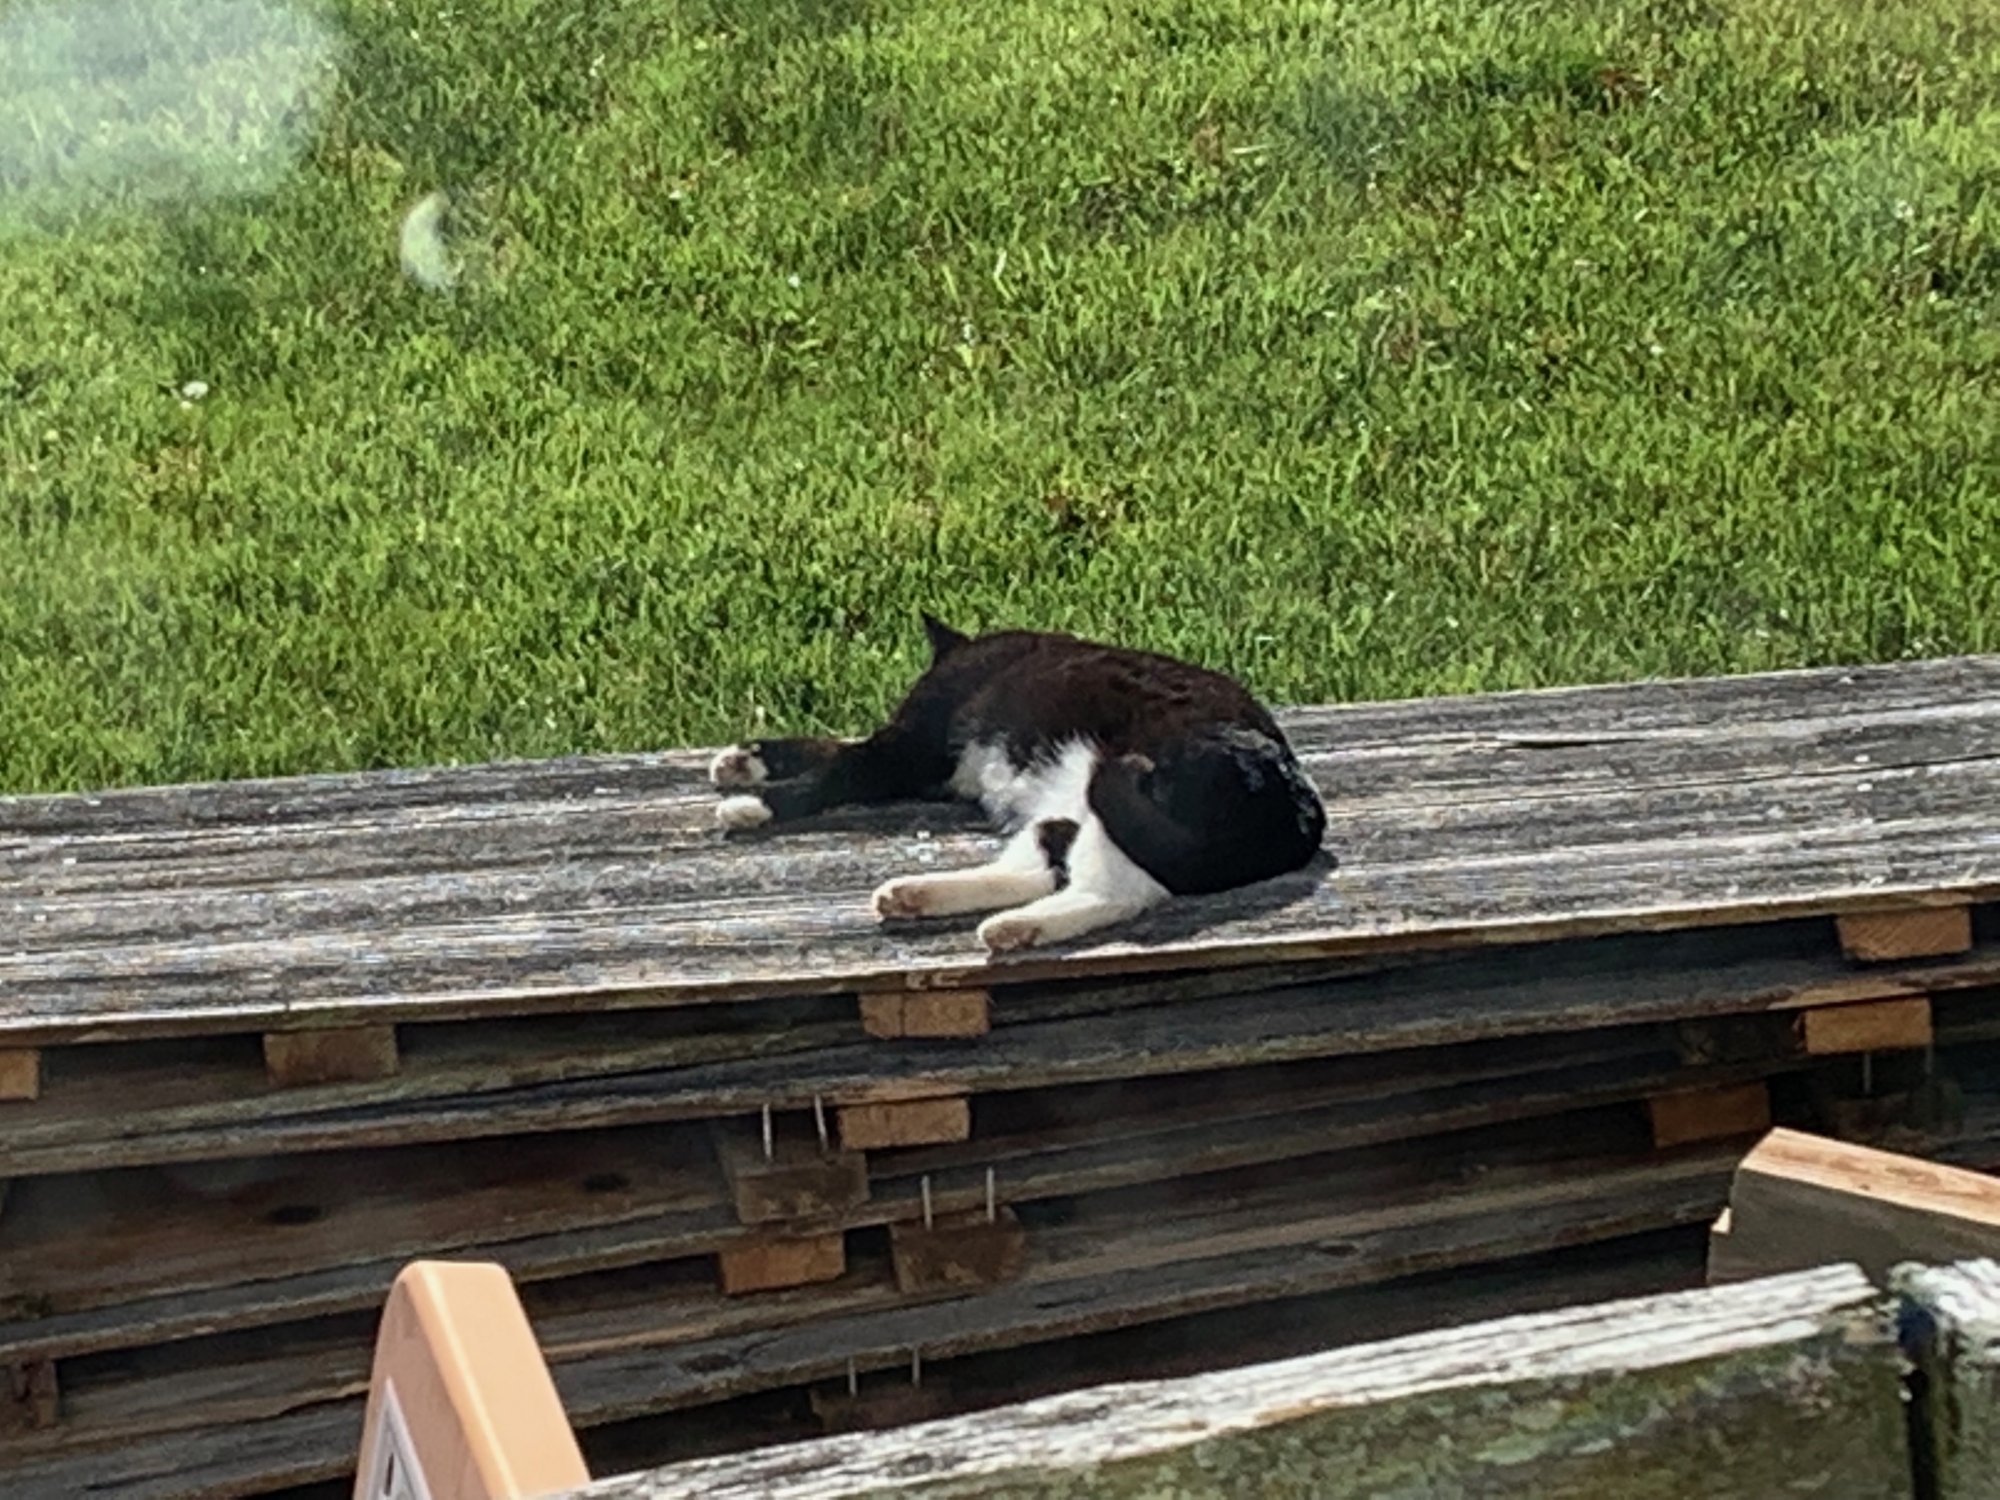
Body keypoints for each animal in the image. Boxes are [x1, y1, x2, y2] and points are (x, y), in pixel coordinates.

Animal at [704, 616, 1328, 956]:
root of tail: (1299, 814)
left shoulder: (906, 751)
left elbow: (836, 766)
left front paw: (751, 803)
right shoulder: (913, 759)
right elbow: (830, 746)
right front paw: (743, 760)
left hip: (1118, 798)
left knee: (1113, 893)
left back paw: (1012, 929)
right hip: (1075, 812)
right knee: (1044, 866)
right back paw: (916, 895)